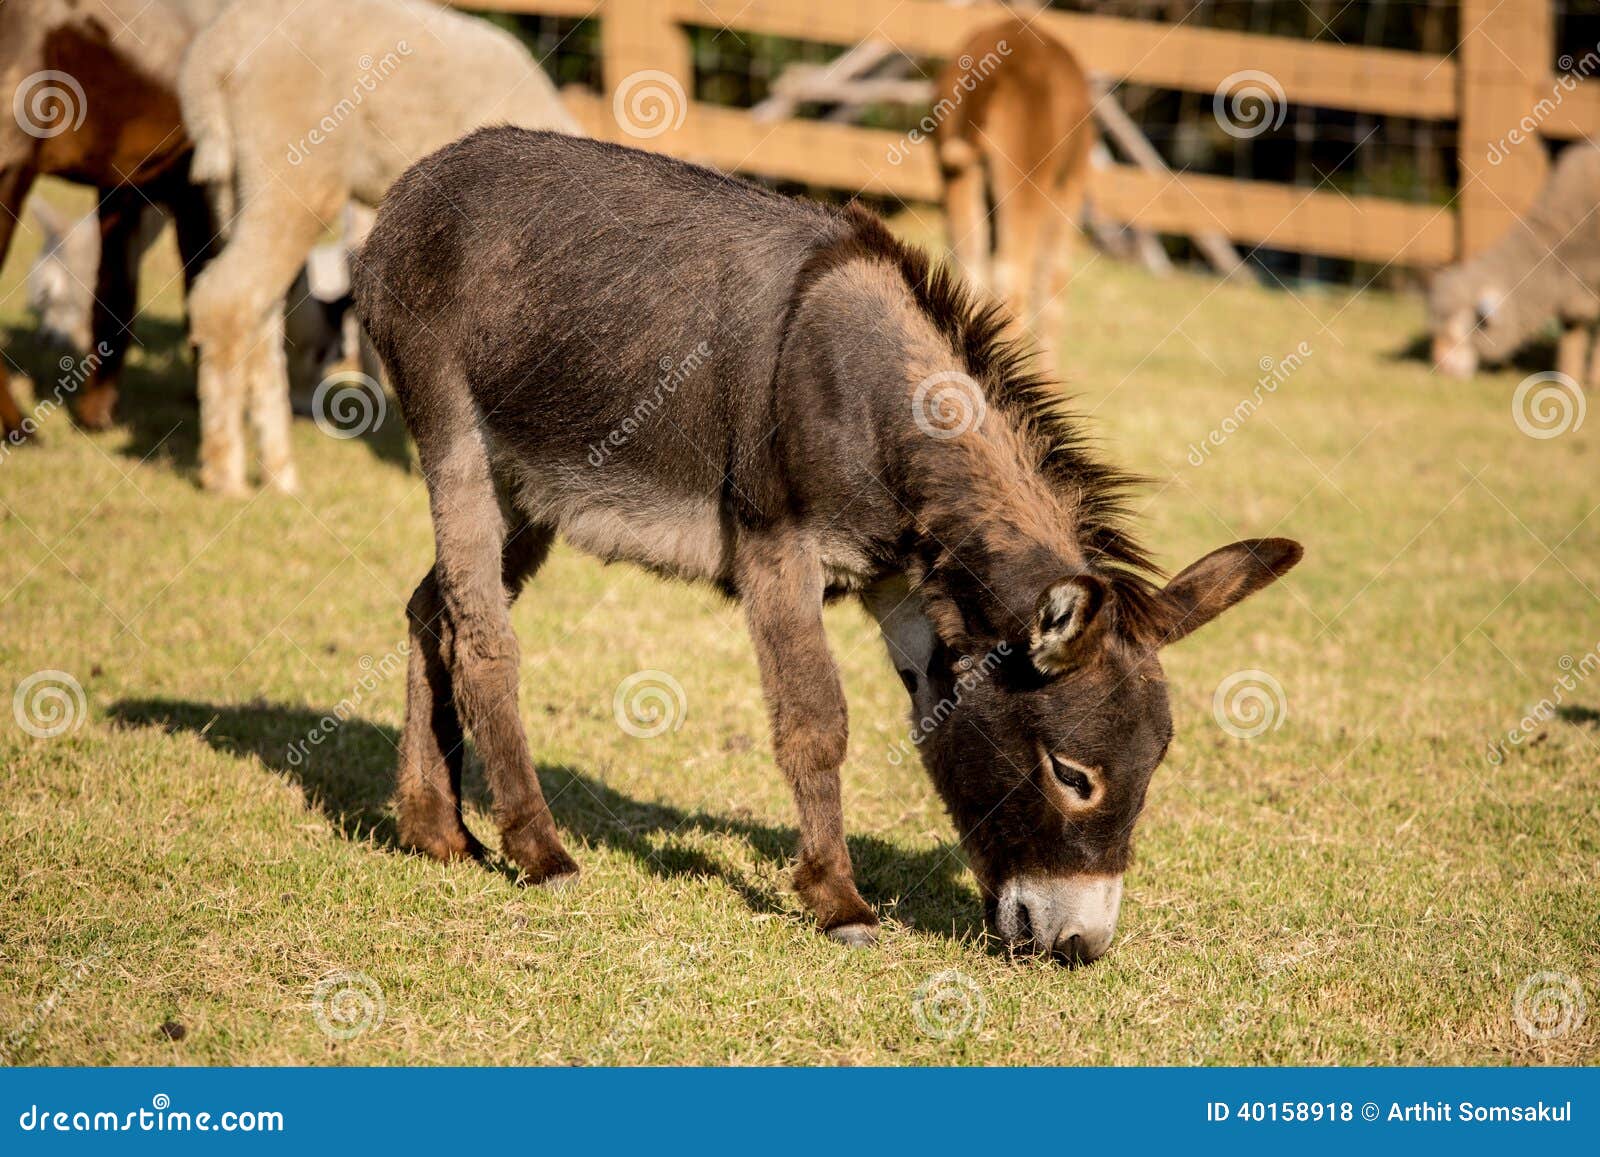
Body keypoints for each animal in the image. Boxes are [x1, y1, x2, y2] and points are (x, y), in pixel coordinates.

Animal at [179, 0, 579, 492]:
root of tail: (212, 62)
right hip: (294, 162)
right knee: (226, 302)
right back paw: (227, 475)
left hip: (232, 184)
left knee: (259, 313)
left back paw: (278, 473)